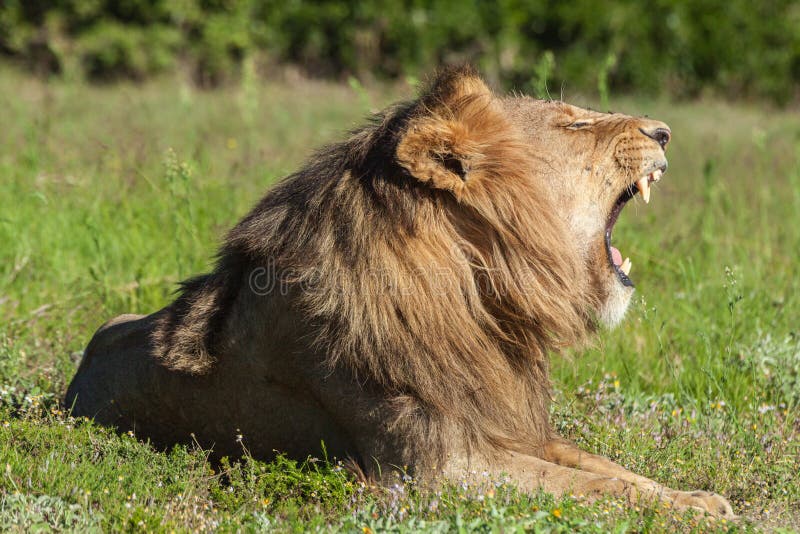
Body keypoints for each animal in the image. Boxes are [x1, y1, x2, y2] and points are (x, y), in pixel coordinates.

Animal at [65, 66, 734, 518]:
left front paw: (698, 499)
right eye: (574, 122)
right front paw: (692, 512)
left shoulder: (508, 425)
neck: (477, 299)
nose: (664, 132)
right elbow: (595, 485)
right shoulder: (432, 469)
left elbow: (607, 468)